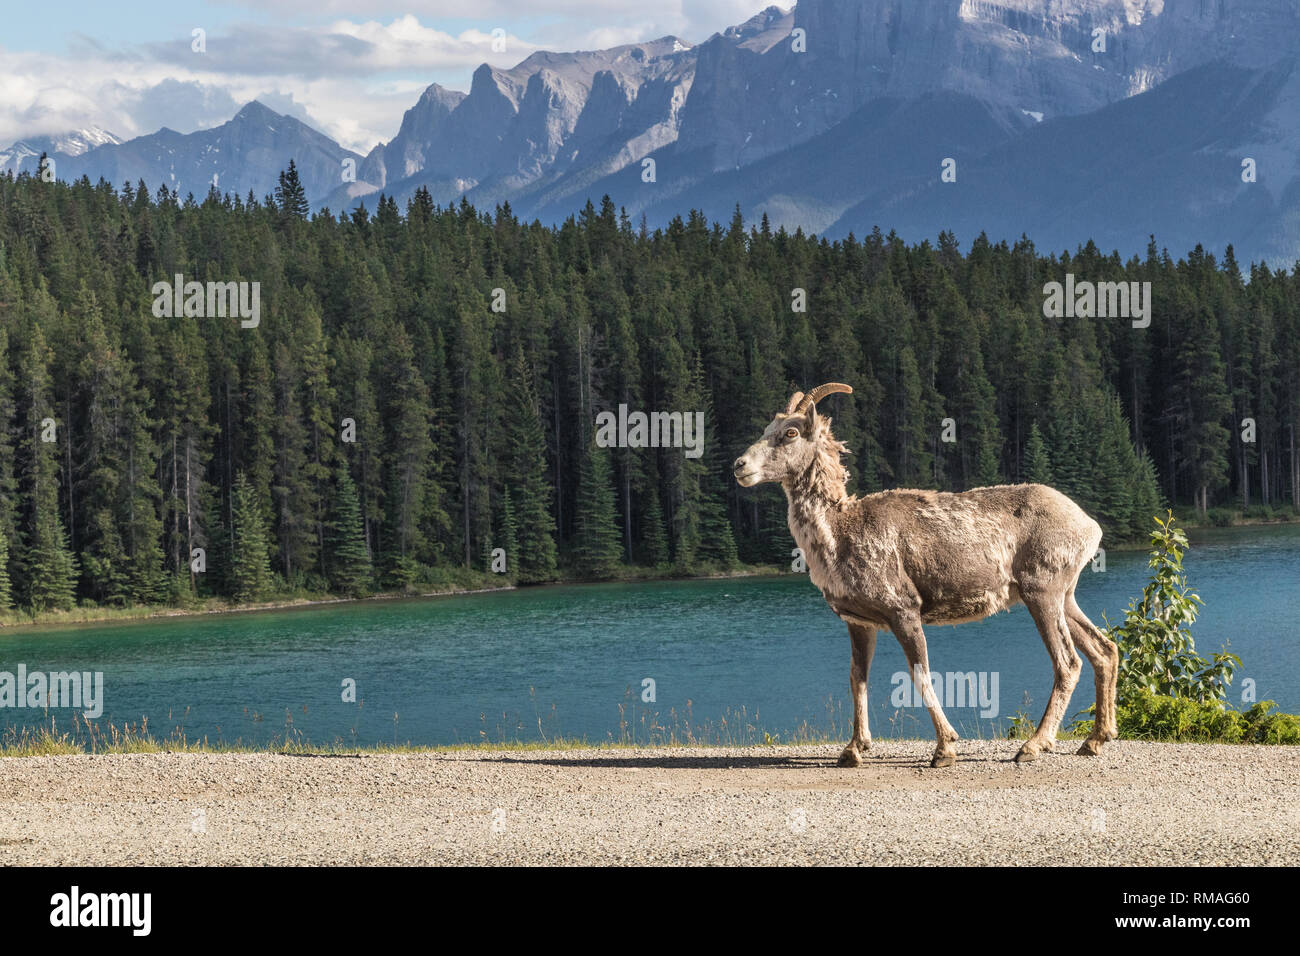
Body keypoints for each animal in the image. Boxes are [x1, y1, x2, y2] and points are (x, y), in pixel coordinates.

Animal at [738, 385, 1123, 764]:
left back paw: (1033, 746)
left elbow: (920, 674)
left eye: (790, 433)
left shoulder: (904, 609)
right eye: (766, 429)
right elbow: (857, 678)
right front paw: (853, 750)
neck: (838, 536)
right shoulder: (859, 621)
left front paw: (945, 748)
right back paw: (1094, 741)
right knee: (1104, 650)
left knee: (1068, 662)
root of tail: (1090, 527)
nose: (740, 466)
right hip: (1064, 596)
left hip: (1042, 591)